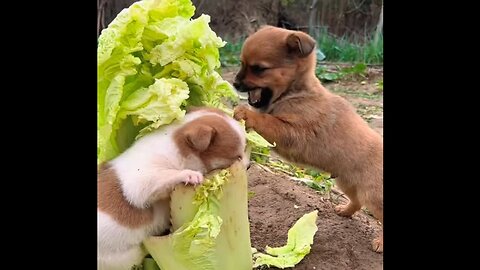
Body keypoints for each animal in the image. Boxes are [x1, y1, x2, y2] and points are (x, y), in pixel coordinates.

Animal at [96, 107, 248, 270]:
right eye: (237, 157)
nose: (249, 165)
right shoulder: (139, 183)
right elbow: (166, 175)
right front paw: (188, 174)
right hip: (124, 257)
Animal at [232, 26, 382, 252]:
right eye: (241, 63)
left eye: (259, 69)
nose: (235, 84)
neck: (295, 92)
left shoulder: (293, 133)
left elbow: (267, 121)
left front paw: (247, 114)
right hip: (346, 182)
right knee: (357, 201)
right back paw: (344, 211)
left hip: (373, 195)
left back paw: (380, 241)